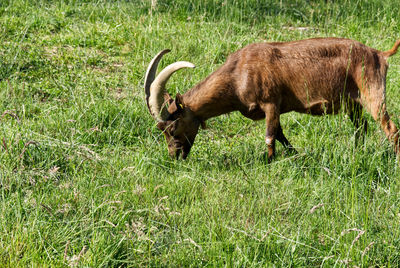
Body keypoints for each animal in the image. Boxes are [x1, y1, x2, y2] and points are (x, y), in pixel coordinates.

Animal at [144, 37, 400, 161]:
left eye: (173, 127)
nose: (175, 156)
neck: (236, 75)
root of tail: (379, 54)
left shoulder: (270, 103)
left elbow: (269, 136)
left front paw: (269, 162)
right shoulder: (275, 109)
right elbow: (280, 133)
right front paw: (296, 155)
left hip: (373, 92)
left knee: (390, 128)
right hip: (352, 102)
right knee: (361, 126)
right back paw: (357, 152)